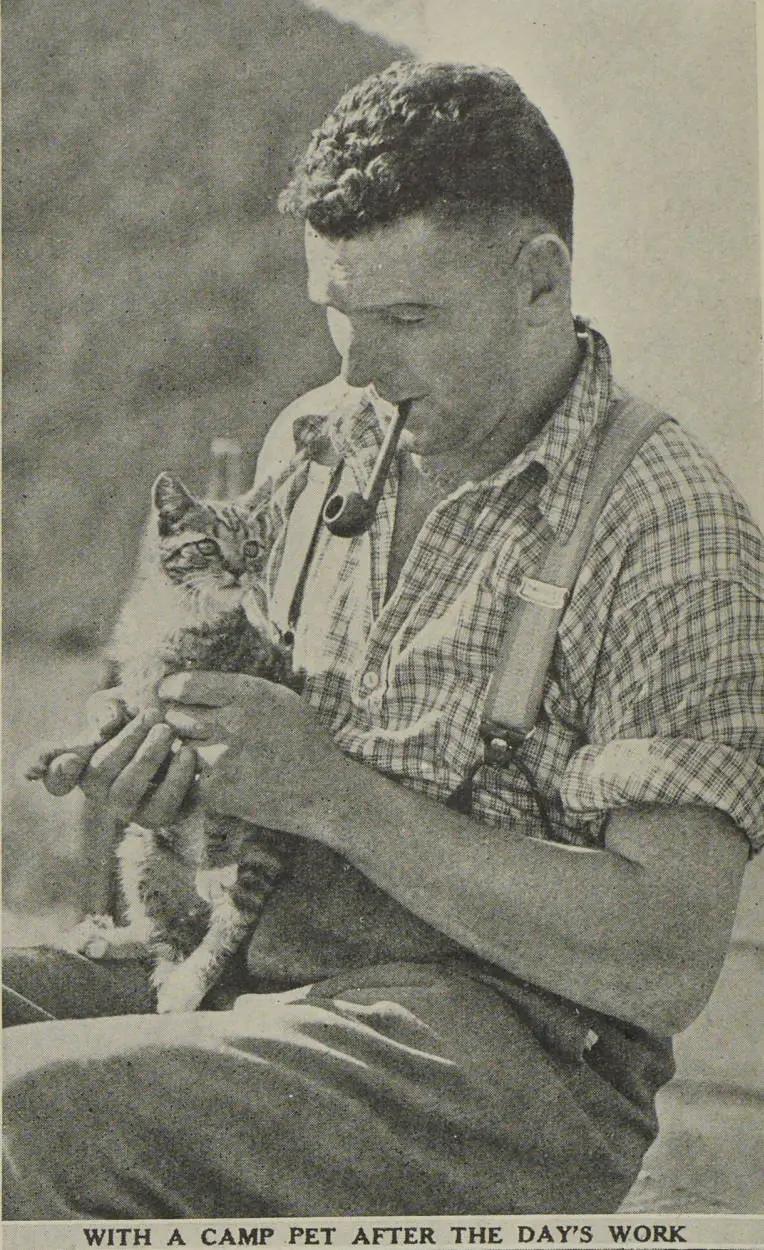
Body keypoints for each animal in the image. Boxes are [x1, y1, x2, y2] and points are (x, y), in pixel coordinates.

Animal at [29, 472, 305, 1010]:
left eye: (253, 547)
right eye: (207, 545)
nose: (239, 569)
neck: (175, 614)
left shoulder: (220, 734)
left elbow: (221, 797)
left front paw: (216, 860)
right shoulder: (139, 698)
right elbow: (107, 715)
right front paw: (64, 751)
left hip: (261, 856)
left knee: (222, 928)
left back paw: (185, 984)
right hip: (139, 849)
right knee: (162, 931)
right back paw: (113, 938)